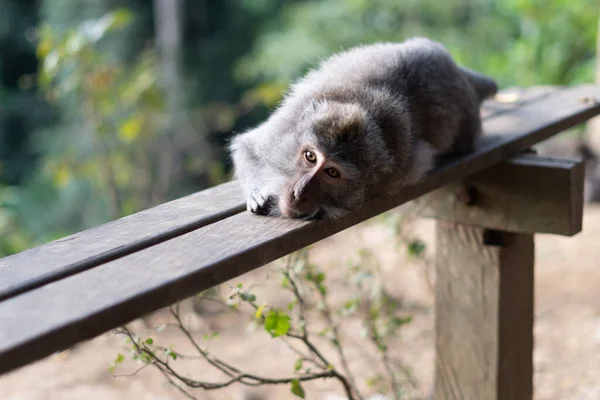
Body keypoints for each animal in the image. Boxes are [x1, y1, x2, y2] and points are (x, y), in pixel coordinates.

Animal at [230, 37, 496, 219]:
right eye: (310, 156)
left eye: (332, 173)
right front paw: (257, 193)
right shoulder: (285, 124)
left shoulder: (394, 175)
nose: (299, 193)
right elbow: (247, 145)